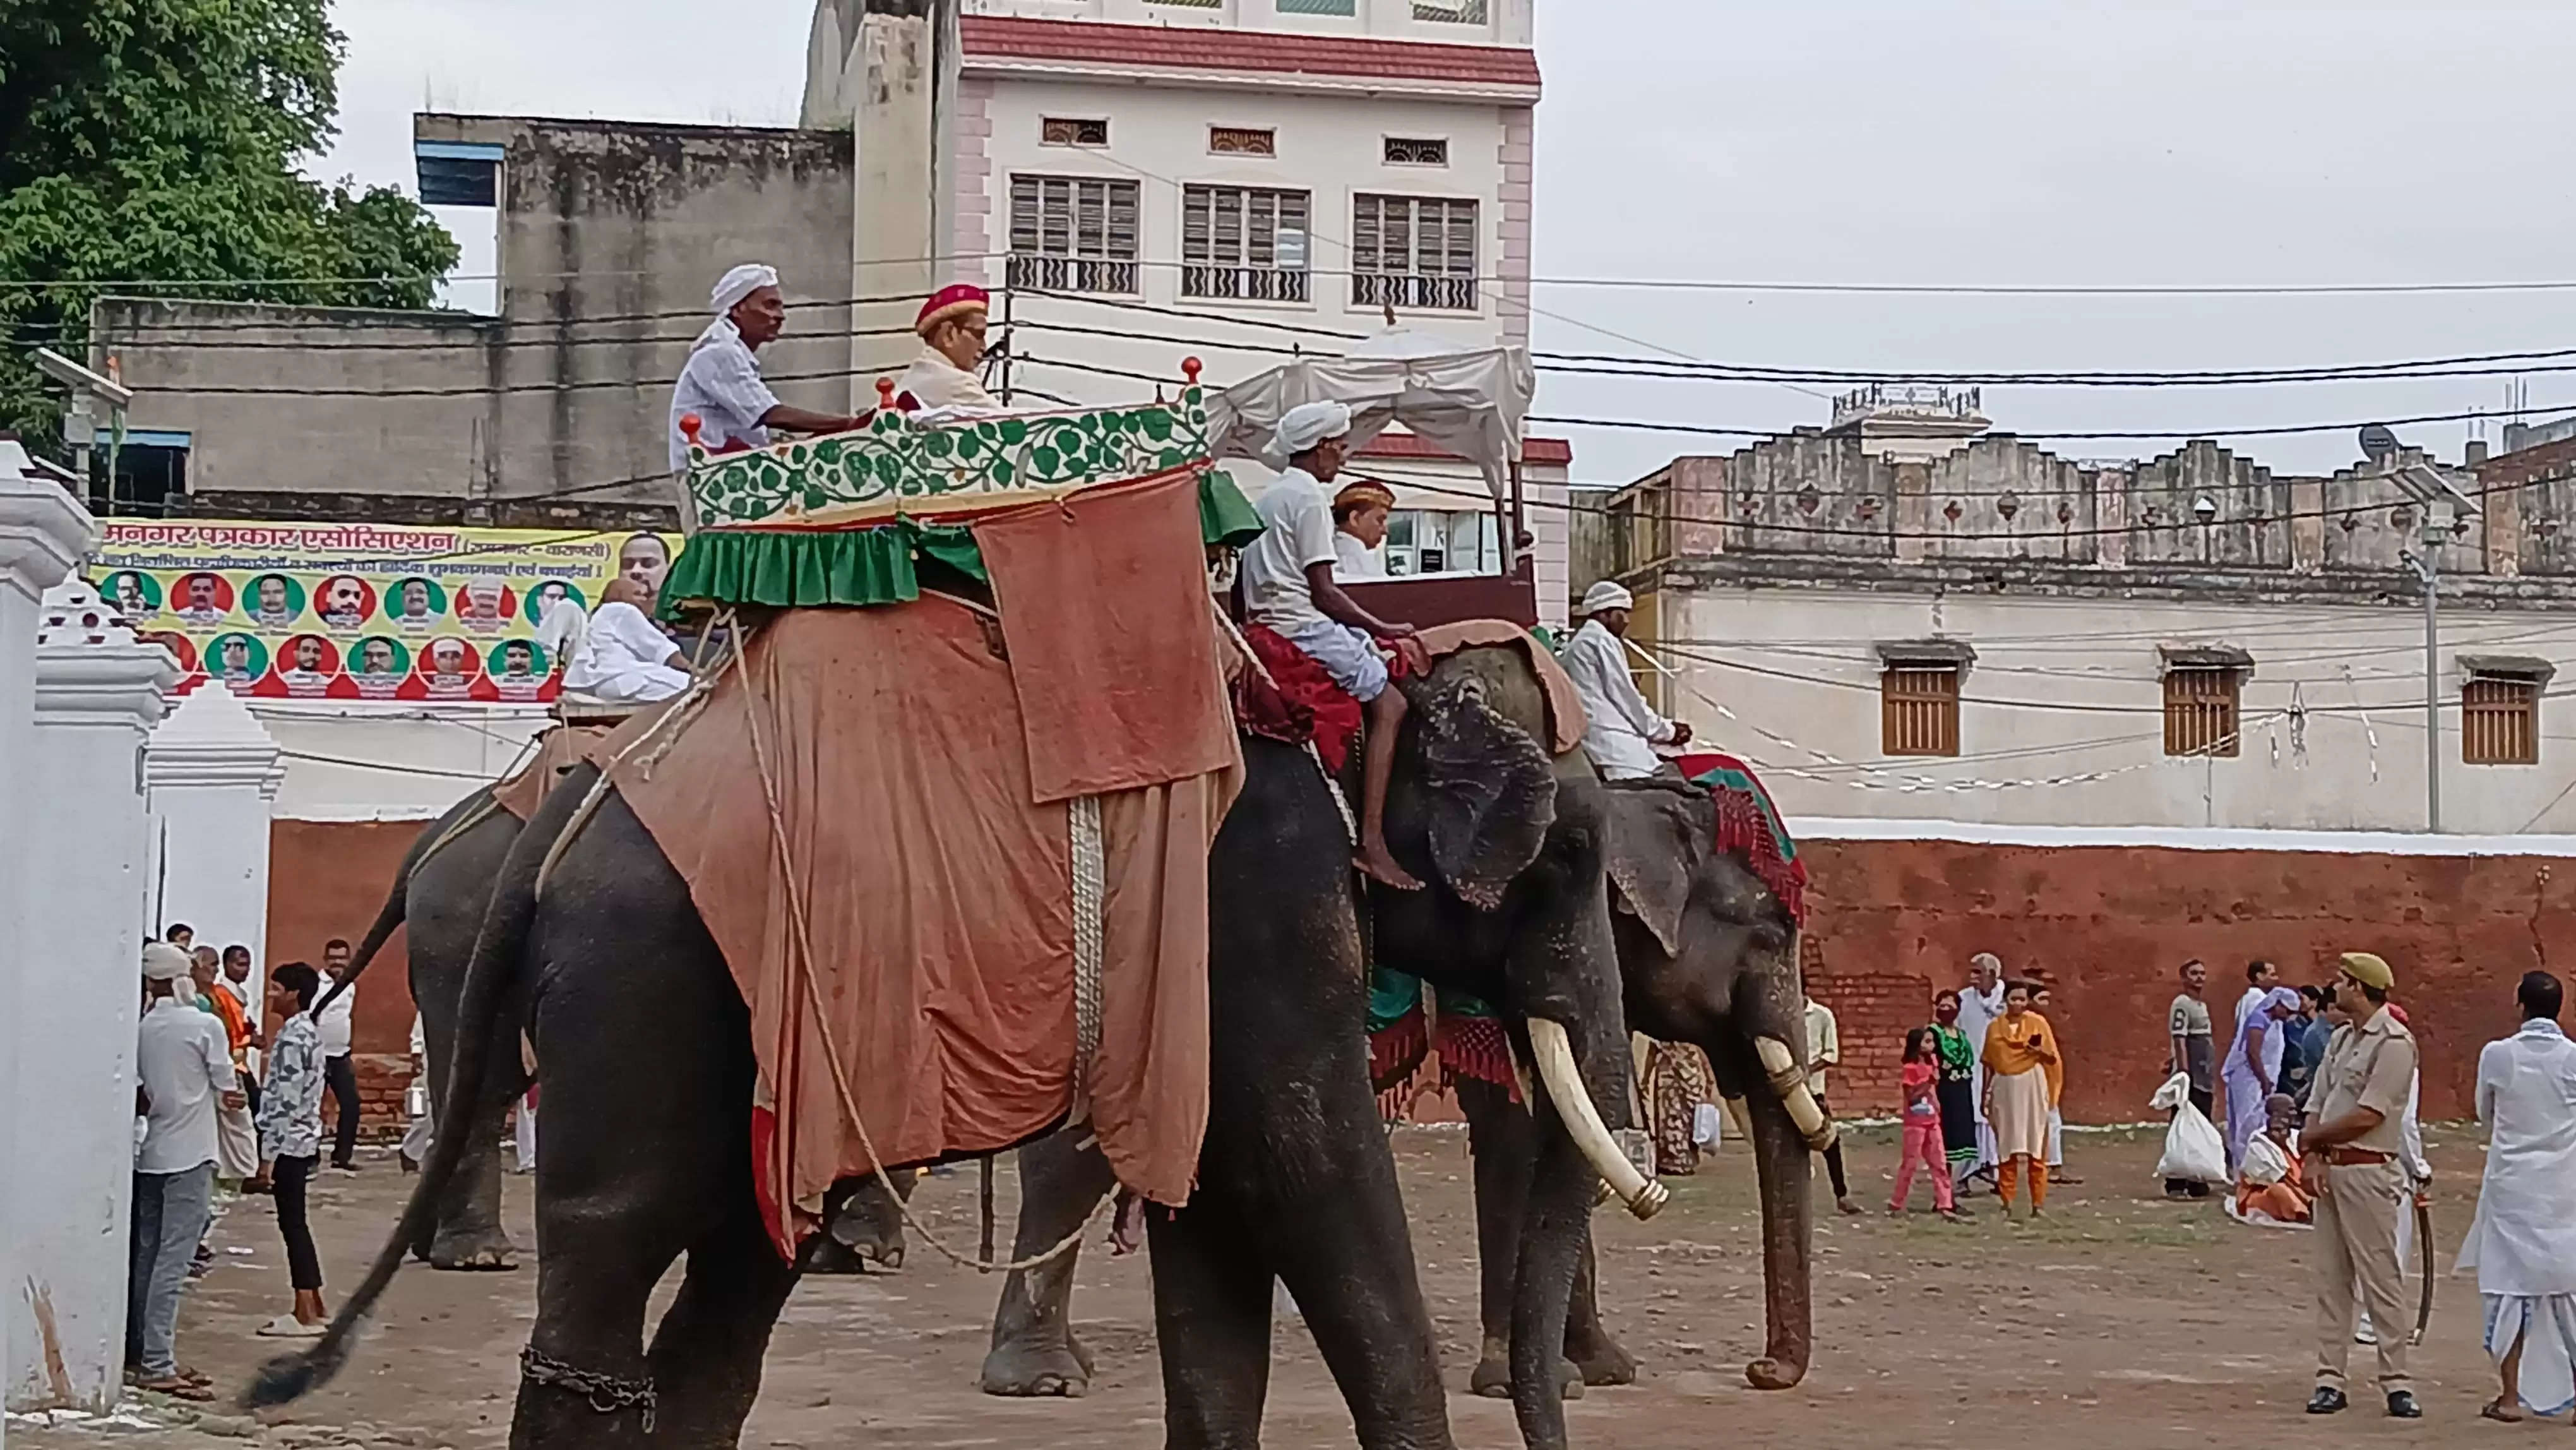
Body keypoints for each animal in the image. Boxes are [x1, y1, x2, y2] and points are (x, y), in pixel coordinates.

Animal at [325, 788, 917, 1277]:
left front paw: (850, 1251)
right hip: (461, 934)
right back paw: (477, 1257)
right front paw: (851, 1249)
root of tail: (433, 838)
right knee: (485, 1084)